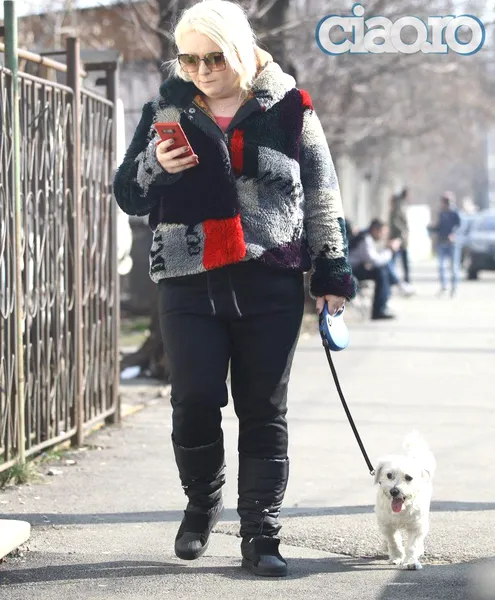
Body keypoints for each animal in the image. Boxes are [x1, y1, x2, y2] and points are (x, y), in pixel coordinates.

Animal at [374, 431, 436, 570]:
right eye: (389, 475)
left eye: (408, 477)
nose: (394, 491)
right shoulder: (387, 524)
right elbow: (393, 541)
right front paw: (397, 557)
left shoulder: (417, 526)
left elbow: (412, 545)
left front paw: (410, 561)